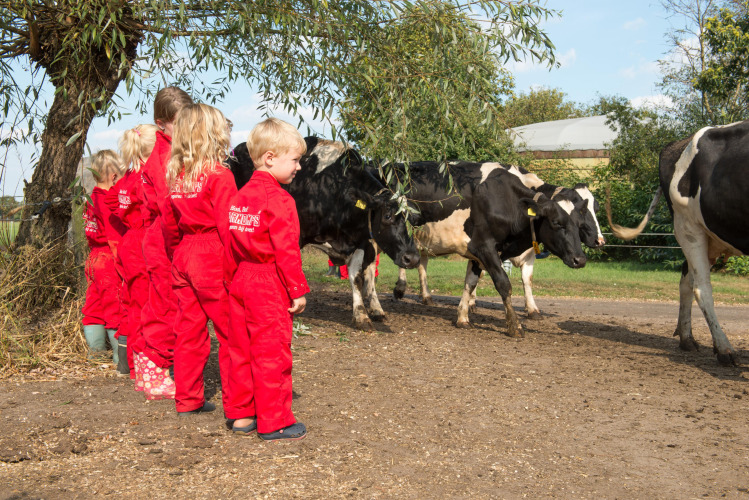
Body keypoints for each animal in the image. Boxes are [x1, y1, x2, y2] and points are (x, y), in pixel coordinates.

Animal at [226, 137, 420, 330]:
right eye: (387, 216)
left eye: (409, 218)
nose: (412, 258)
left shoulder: (359, 240)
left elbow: (356, 278)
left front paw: (361, 315)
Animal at [375, 160, 588, 336]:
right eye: (556, 222)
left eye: (579, 224)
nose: (580, 259)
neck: (504, 198)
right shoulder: (485, 247)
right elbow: (503, 284)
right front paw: (514, 326)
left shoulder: (477, 252)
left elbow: (470, 282)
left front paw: (462, 317)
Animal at [607, 121, 749, 365]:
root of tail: (678, 143)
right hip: (689, 228)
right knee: (702, 288)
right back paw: (724, 350)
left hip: (707, 237)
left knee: (687, 279)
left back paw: (687, 338)